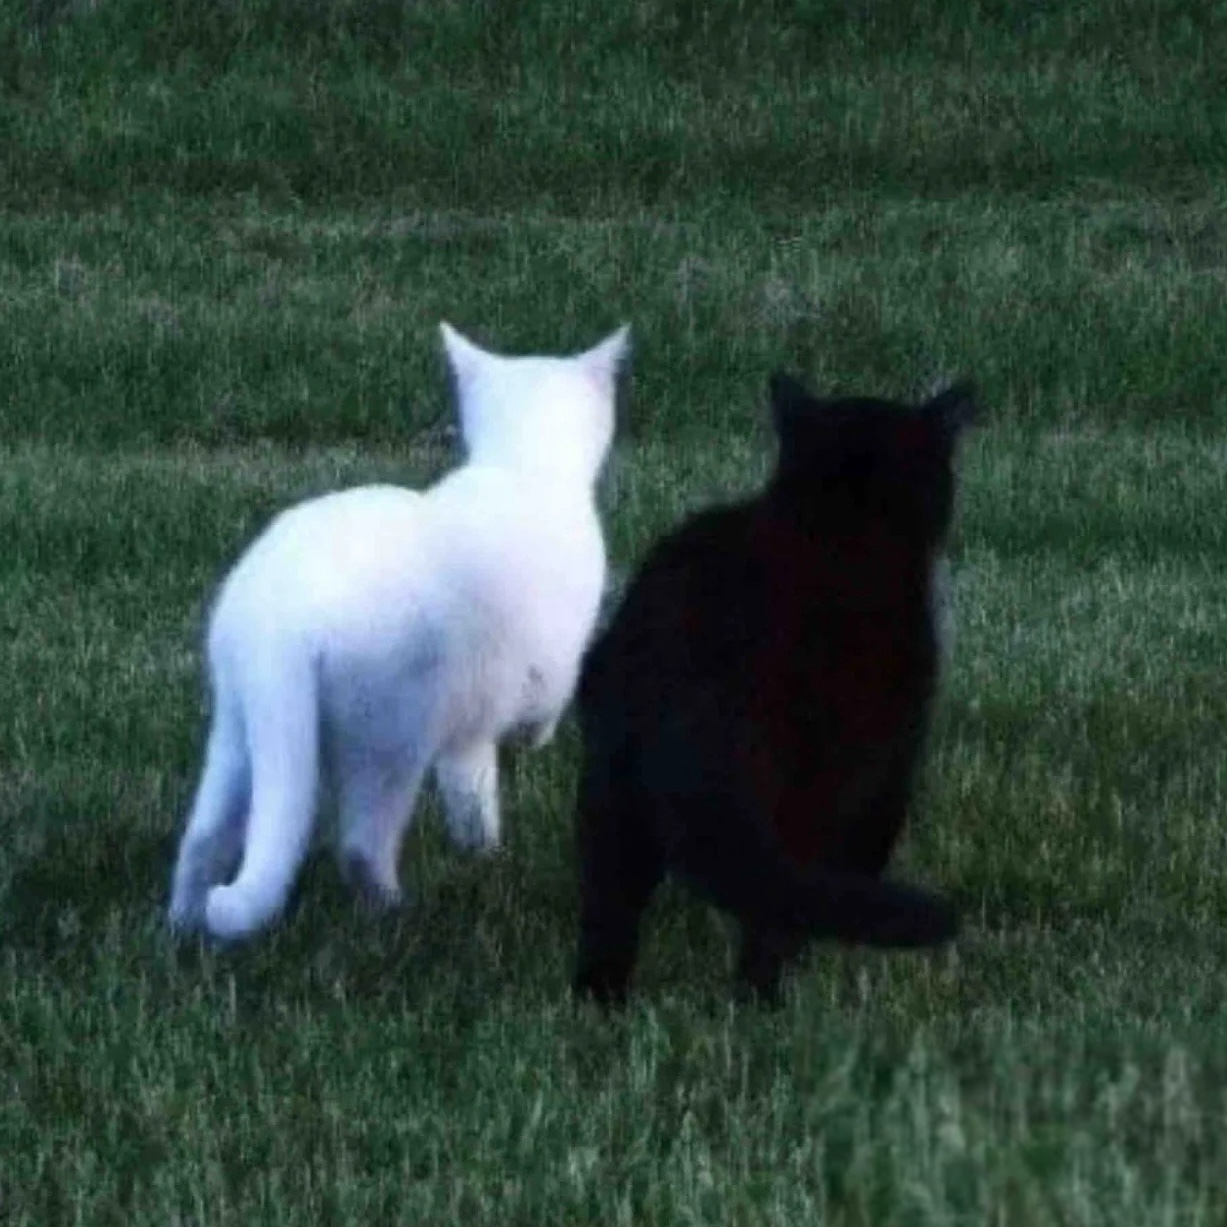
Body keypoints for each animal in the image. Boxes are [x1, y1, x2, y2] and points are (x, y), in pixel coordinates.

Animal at [169, 322, 629, 942]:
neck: (519, 468)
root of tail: (278, 620)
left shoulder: (471, 721)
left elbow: (471, 787)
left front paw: (482, 852)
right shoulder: (542, 671)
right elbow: (528, 732)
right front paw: (490, 850)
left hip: (239, 730)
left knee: (204, 839)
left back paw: (182, 928)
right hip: (391, 739)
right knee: (362, 845)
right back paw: (395, 913)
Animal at [572, 373, 976, 1004]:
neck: (840, 527)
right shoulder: (890, 753)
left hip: (610, 781)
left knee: (609, 901)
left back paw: (600, 998)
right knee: (779, 903)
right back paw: (763, 999)